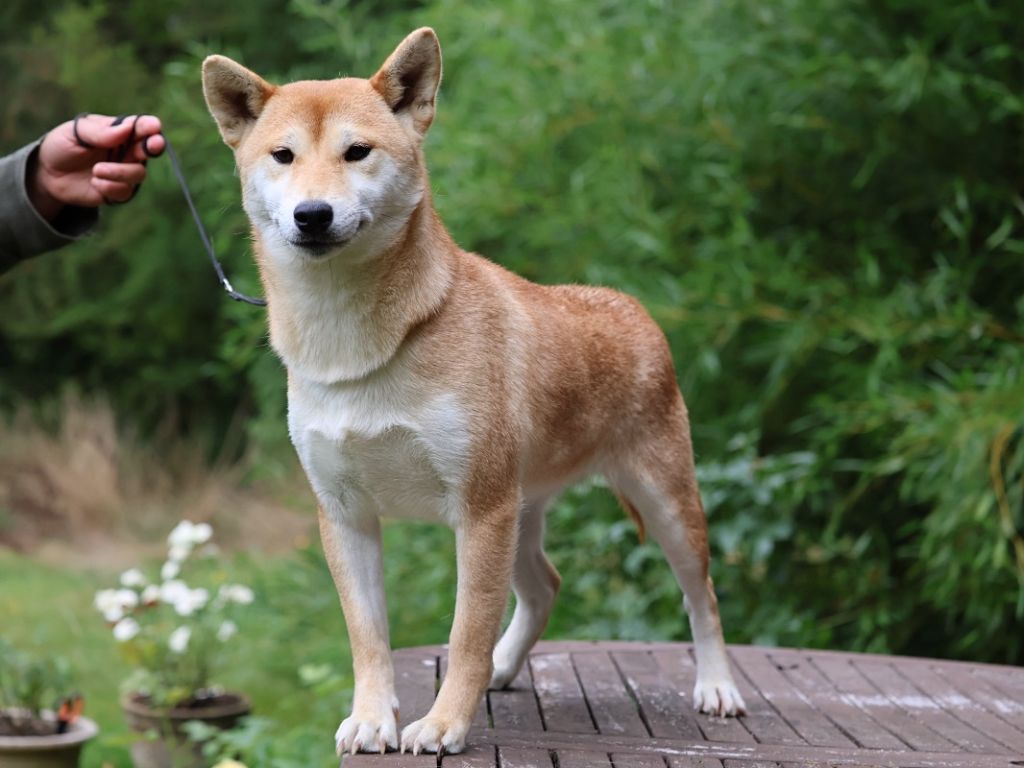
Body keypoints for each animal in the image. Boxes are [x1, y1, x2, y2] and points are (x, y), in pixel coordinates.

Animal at [201, 28, 745, 757]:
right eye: (282, 156)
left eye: (356, 151)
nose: (311, 215)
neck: (358, 346)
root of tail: (634, 308)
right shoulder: (345, 515)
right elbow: (368, 636)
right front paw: (372, 719)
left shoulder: (480, 511)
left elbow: (465, 634)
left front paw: (442, 725)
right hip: (524, 511)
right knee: (545, 587)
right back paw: (507, 667)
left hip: (661, 503)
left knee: (702, 596)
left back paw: (718, 688)